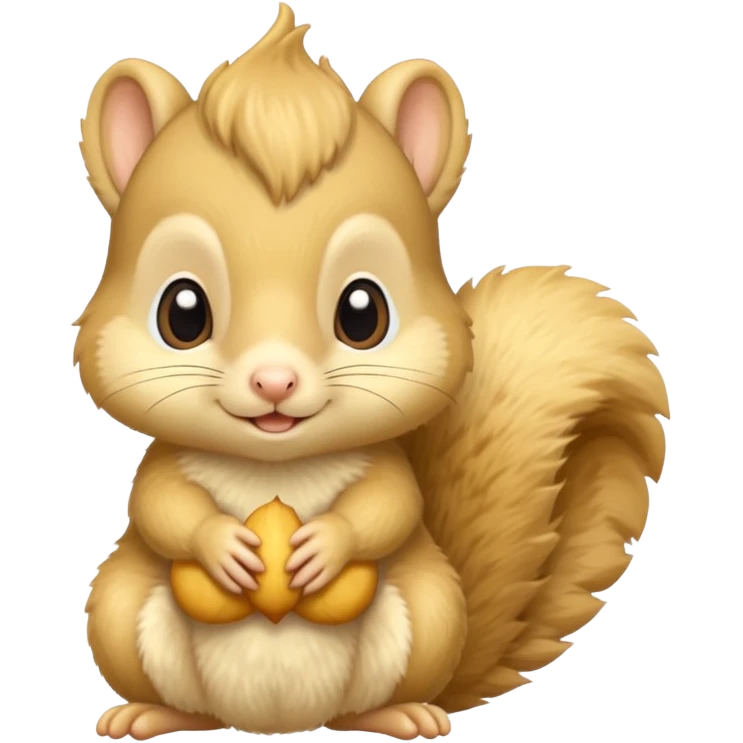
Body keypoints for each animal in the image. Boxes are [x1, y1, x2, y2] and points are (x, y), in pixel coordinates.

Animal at [75, 4, 669, 742]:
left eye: (364, 312)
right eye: (181, 312)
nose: (274, 382)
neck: (275, 464)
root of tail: (276, 720)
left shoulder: (384, 467)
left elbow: (390, 505)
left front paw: (327, 545)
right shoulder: (164, 463)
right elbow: (159, 505)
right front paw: (222, 544)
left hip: (429, 610)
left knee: (374, 698)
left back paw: (402, 713)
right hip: (119, 610)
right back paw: (151, 712)